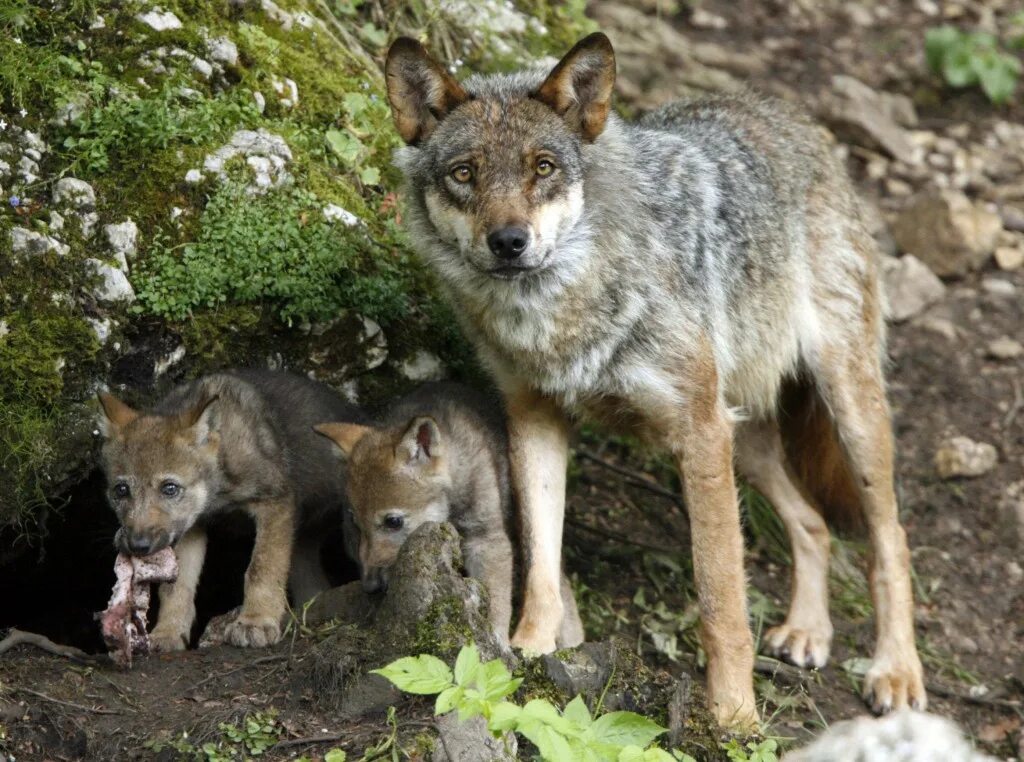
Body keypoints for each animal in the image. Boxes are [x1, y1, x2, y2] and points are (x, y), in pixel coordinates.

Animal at [96, 368, 368, 647]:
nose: (138, 545)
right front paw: (168, 632)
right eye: (121, 490)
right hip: (303, 544)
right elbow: (176, 586)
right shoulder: (190, 527)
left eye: (169, 488)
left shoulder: (275, 502)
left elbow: (261, 568)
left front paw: (255, 622)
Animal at [385, 34, 929, 725]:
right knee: (813, 525)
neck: (560, 313)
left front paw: (734, 717)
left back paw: (896, 670)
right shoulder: (535, 417)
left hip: (843, 414)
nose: (509, 241)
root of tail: (789, 116)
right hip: (744, 440)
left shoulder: (698, 434)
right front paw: (527, 654)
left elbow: (721, 600)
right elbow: (541, 561)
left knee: (891, 539)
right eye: (464, 173)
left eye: (543, 168)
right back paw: (809, 631)